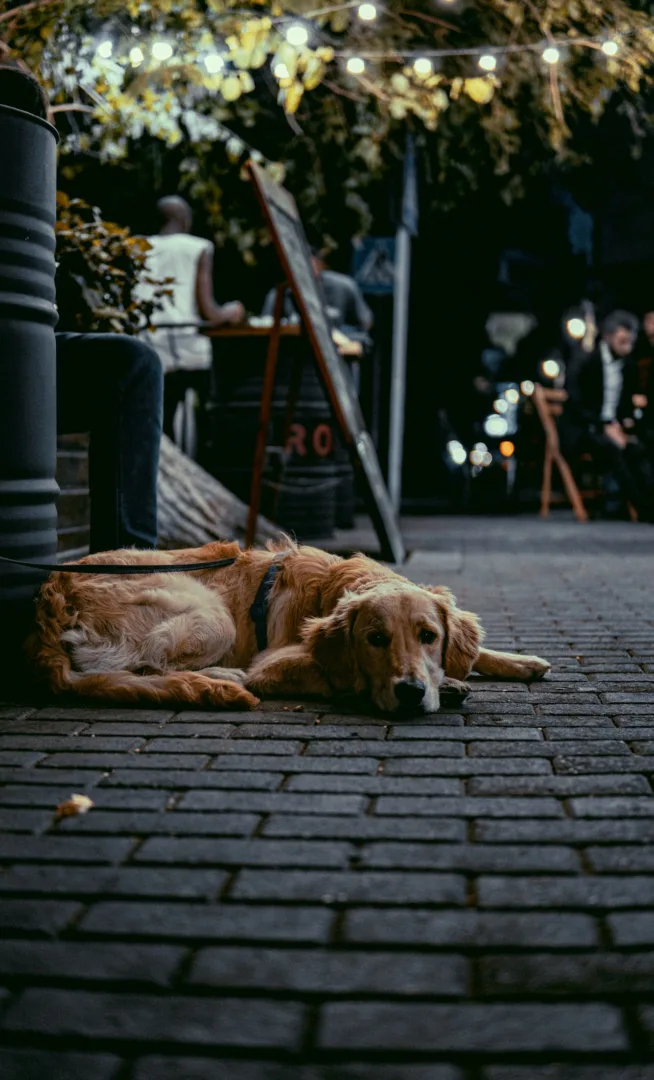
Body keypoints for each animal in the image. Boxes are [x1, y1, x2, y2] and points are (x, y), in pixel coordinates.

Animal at [28, 540, 552, 717]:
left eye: (430, 636)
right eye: (375, 640)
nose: (409, 692)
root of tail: (52, 588)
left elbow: (475, 649)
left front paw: (520, 661)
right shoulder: (274, 662)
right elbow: (336, 676)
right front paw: (446, 687)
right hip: (209, 615)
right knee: (146, 666)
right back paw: (222, 678)